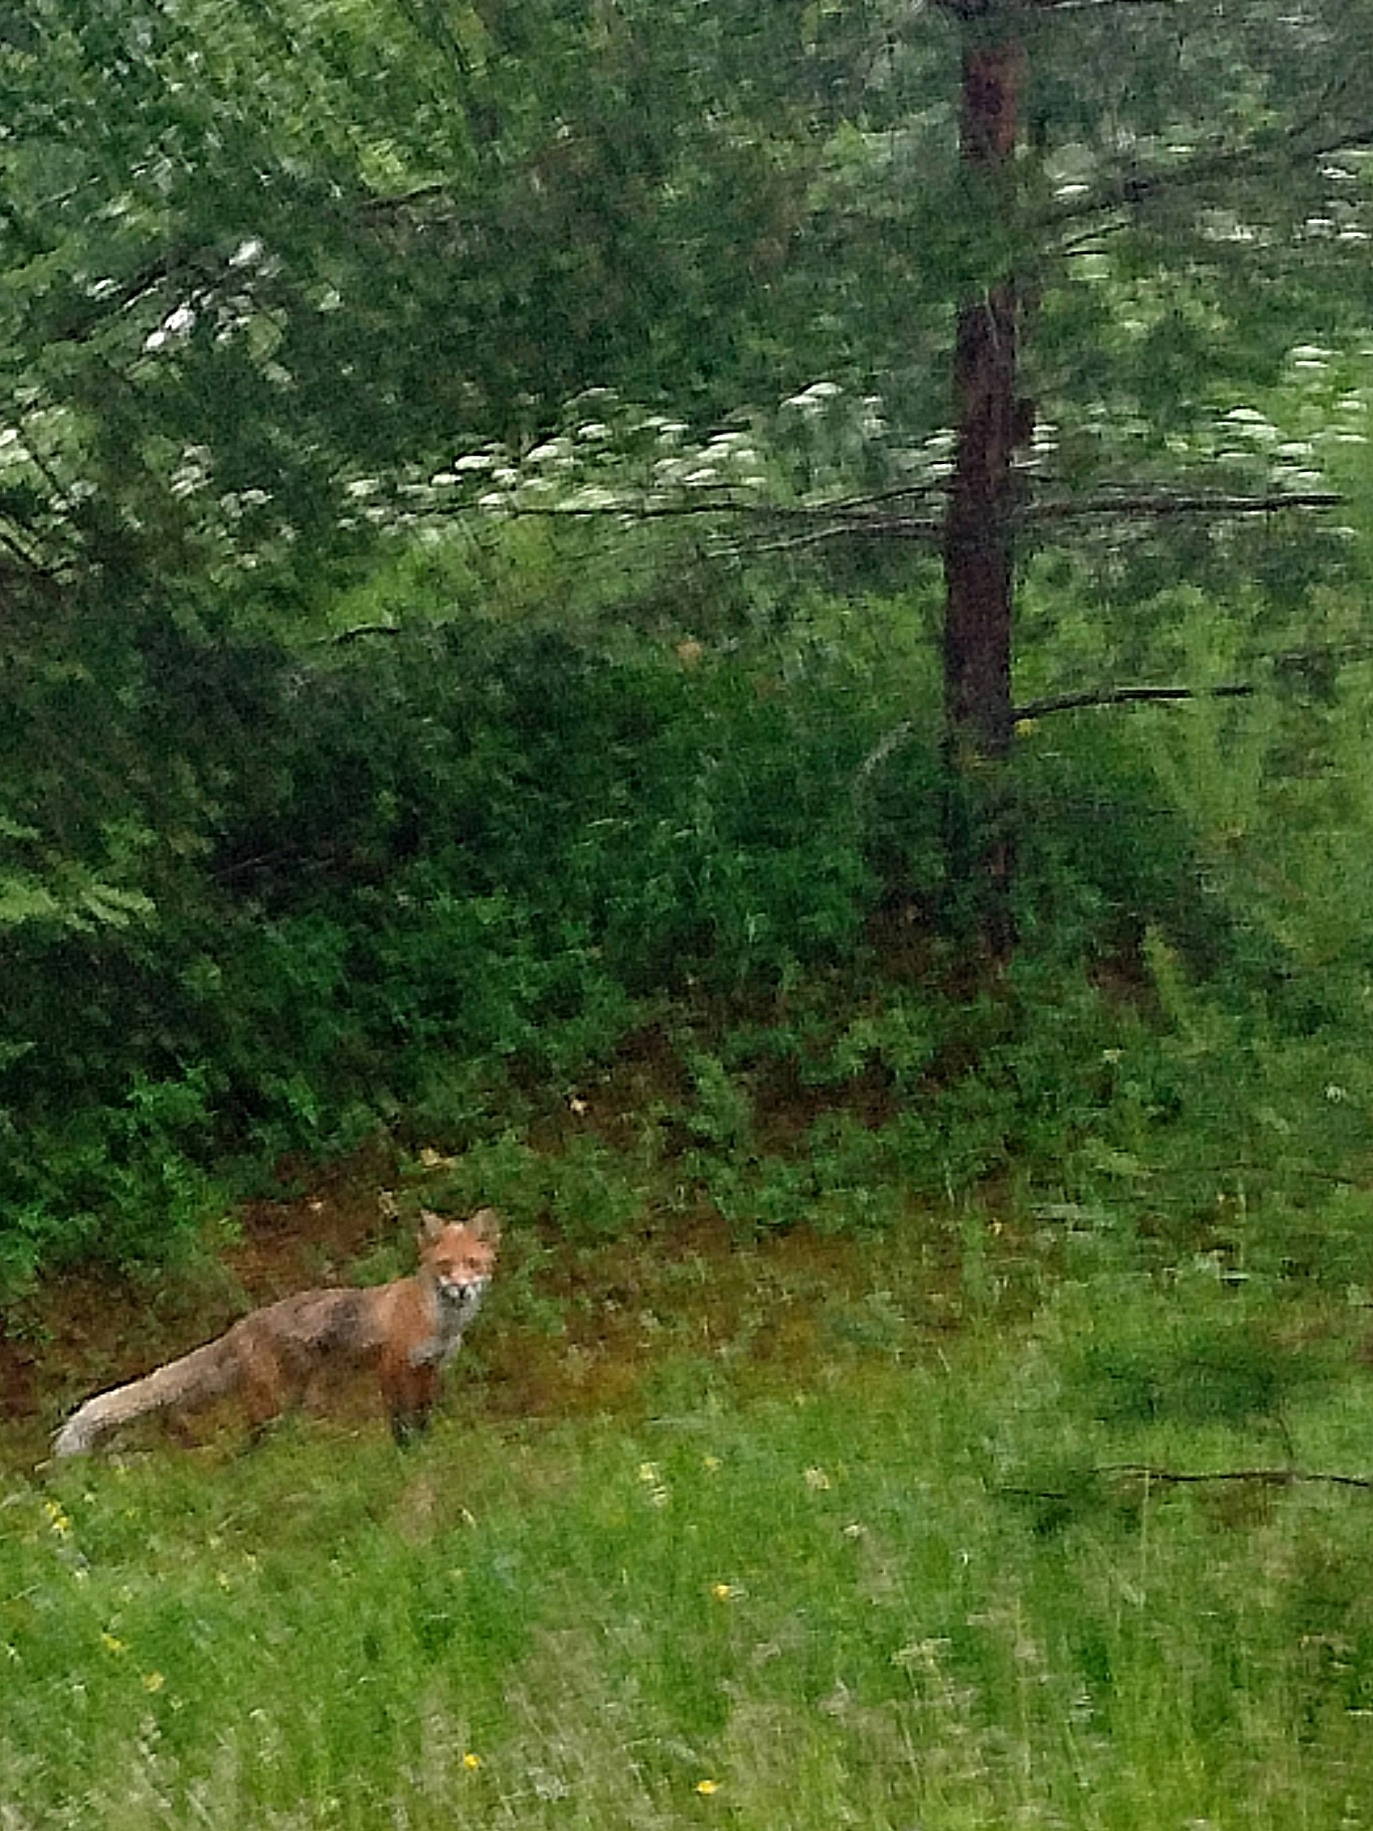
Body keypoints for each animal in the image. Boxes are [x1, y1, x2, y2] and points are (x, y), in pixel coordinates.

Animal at [51, 1208, 499, 1458]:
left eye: (473, 1264)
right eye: (445, 1266)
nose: (461, 1289)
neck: (438, 1323)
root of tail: (239, 1325)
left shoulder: (429, 1369)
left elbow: (422, 1417)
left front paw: (425, 1449)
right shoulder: (391, 1366)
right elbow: (399, 1421)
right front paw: (405, 1455)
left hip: (293, 1399)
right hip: (269, 1405)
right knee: (248, 1442)